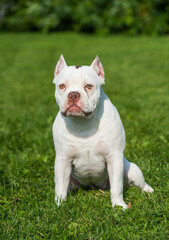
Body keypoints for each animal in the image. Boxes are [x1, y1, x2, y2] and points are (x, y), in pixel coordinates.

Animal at [52, 55, 154, 209]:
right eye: (62, 86)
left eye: (89, 86)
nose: (73, 94)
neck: (83, 123)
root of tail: (95, 186)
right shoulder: (63, 160)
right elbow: (60, 188)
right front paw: (59, 206)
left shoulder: (114, 157)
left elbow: (117, 187)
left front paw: (118, 206)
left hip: (132, 170)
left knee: (140, 183)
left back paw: (149, 190)